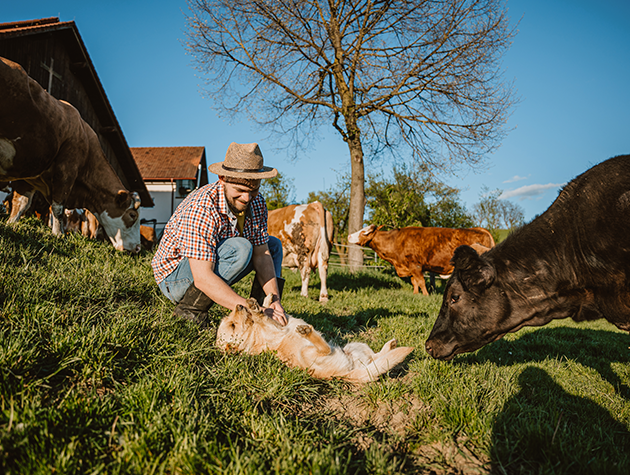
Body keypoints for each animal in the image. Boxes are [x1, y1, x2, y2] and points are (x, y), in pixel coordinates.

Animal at [0, 56, 141, 253]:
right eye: (132, 215)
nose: (138, 248)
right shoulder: (66, 170)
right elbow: (58, 207)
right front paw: (58, 235)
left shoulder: (30, 173)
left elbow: (20, 204)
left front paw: (11, 225)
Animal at [217, 300, 414, 384]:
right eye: (233, 325)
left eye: (230, 320)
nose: (238, 305)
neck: (254, 336)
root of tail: (344, 375)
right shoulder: (273, 328)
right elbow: (261, 317)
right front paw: (255, 309)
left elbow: (268, 305)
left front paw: (264, 300)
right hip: (309, 352)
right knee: (324, 349)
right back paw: (307, 332)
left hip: (355, 347)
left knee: (377, 357)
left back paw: (391, 345)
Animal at [348, 225, 496, 296]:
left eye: (364, 232)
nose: (349, 236)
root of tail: (480, 229)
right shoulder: (410, 267)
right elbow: (414, 282)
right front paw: (415, 294)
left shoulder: (416, 266)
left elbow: (421, 281)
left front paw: (425, 295)